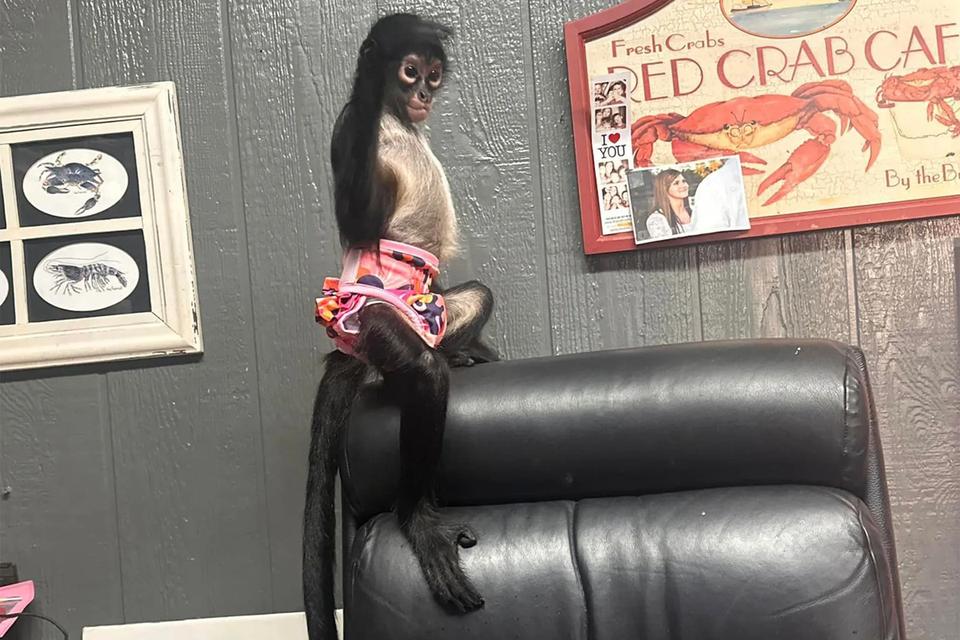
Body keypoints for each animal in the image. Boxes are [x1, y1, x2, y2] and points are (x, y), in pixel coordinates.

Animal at [303, 13, 498, 640]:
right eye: (409, 71)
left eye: (434, 77)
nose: (422, 97)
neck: (395, 122)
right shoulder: (349, 130)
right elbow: (358, 221)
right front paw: (365, 84)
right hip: (371, 325)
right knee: (420, 370)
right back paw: (416, 518)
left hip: (429, 312)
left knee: (470, 304)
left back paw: (461, 353)